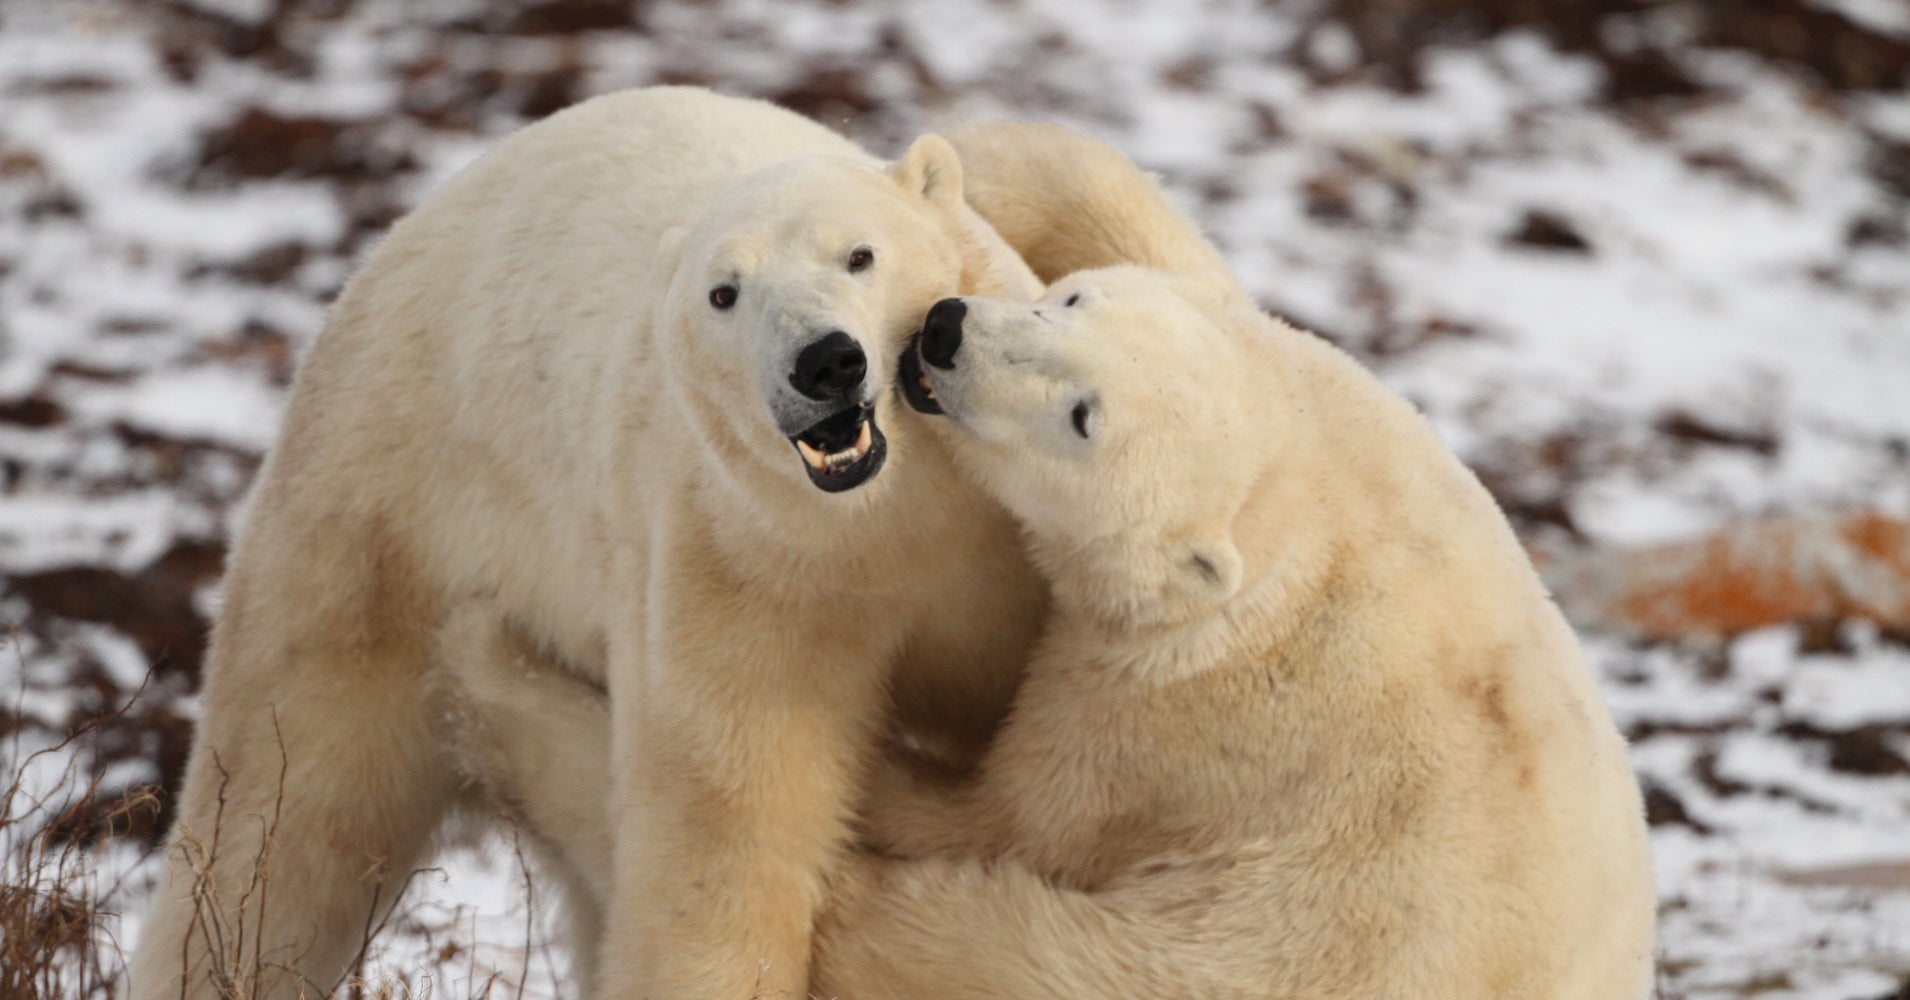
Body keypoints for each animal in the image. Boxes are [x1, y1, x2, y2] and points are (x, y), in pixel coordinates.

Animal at [125, 86, 1051, 1000]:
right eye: (725, 294)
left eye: (860, 255)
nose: (823, 362)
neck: (889, 518)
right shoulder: (743, 565)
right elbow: (727, 832)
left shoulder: (990, 561)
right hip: (373, 528)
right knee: (286, 819)